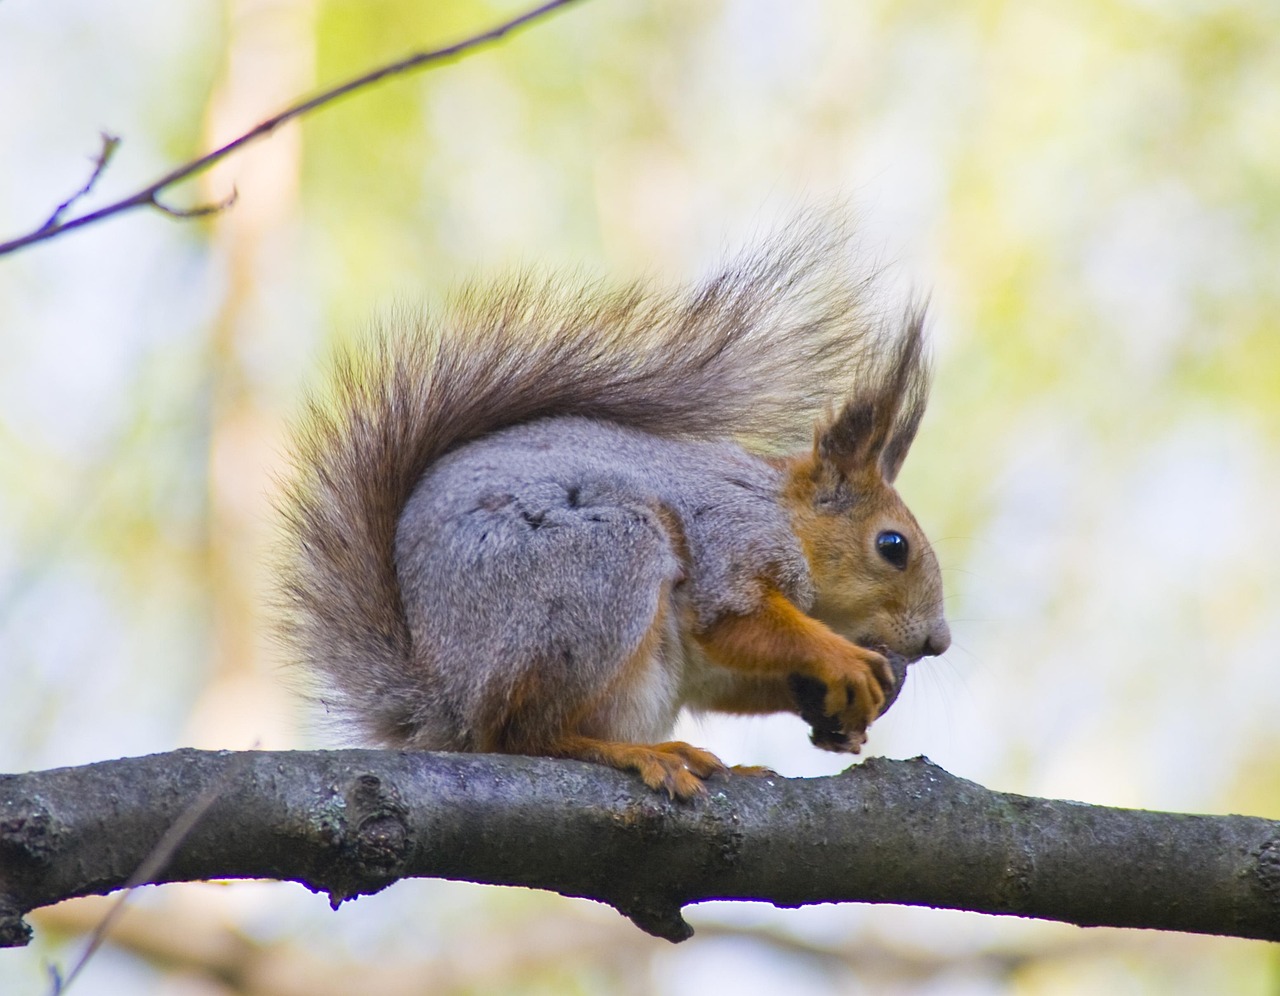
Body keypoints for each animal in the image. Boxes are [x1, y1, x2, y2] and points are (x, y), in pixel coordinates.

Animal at [277, 221, 952, 793]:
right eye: (893, 546)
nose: (938, 642)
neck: (783, 513)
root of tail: (449, 699)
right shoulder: (730, 541)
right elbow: (734, 620)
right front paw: (843, 659)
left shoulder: (710, 662)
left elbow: (729, 674)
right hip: (602, 568)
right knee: (525, 735)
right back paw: (640, 755)